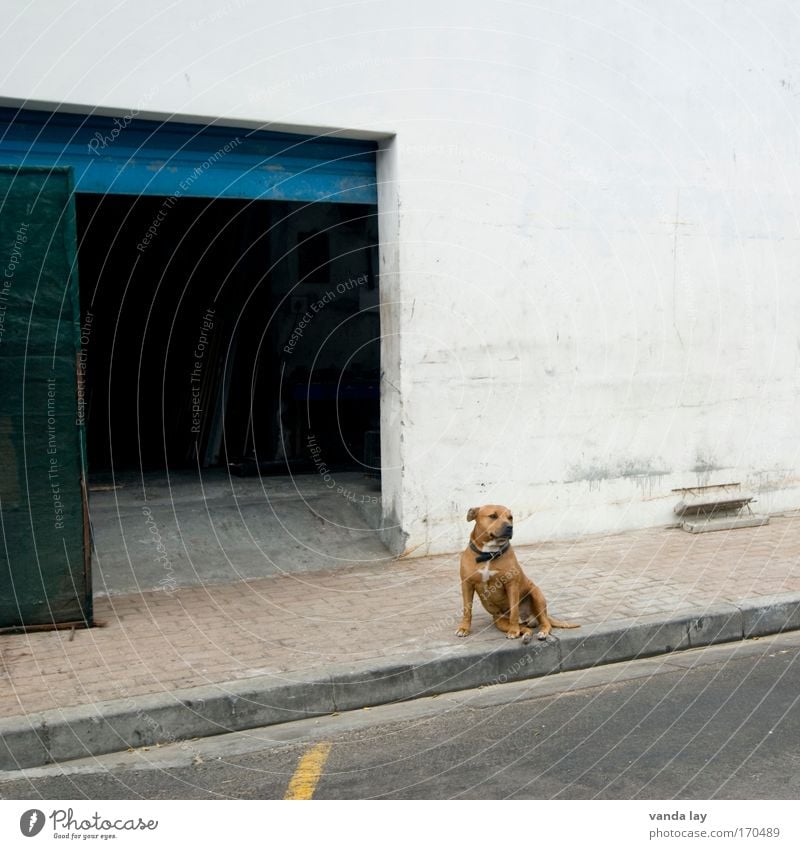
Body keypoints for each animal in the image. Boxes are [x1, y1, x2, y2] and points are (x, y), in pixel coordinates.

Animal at [456, 504, 576, 636]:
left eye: (510, 517)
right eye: (493, 516)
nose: (510, 527)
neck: (489, 554)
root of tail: (528, 618)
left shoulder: (511, 584)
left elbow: (514, 611)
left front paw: (513, 630)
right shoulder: (467, 584)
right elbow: (467, 610)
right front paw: (464, 628)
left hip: (536, 594)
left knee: (545, 622)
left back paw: (540, 632)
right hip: (501, 622)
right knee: (525, 629)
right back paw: (525, 635)